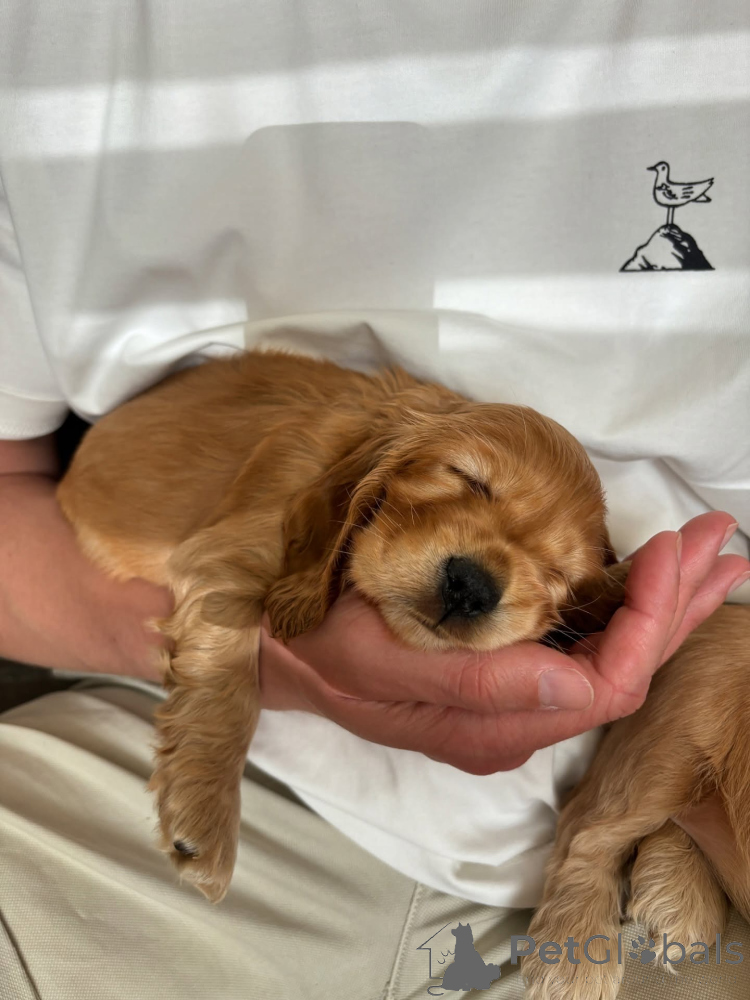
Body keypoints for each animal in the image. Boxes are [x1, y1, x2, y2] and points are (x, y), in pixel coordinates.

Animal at [57, 349, 619, 902]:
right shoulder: (230, 555)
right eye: (467, 478)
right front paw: (206, 812)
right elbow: (228, 686)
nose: (471, 587)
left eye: (557, 574)